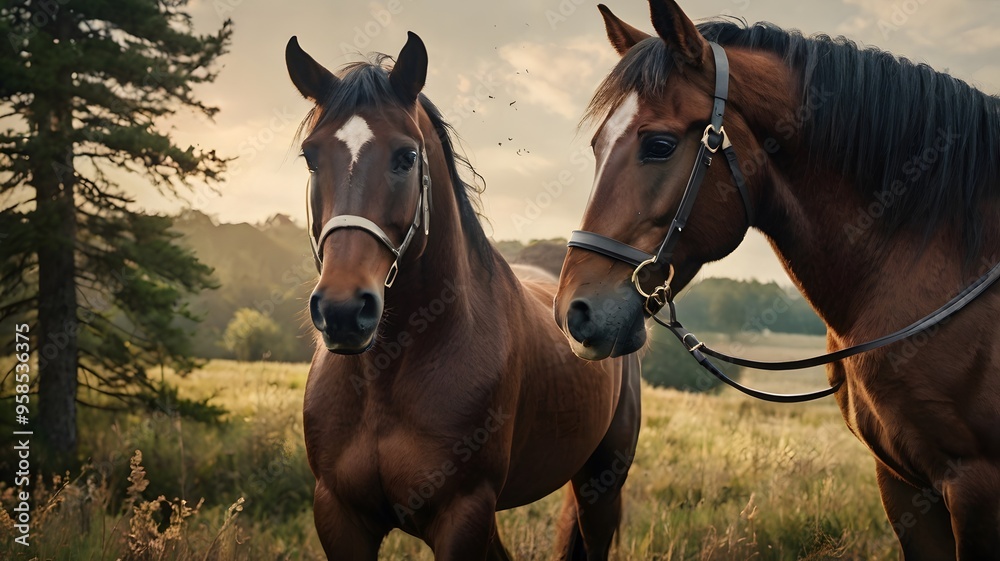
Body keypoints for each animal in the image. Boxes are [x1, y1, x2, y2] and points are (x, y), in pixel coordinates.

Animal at [285, 32, 641, 560]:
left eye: (406, 157)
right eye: (311, 157)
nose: (344, 311)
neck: (388, 376)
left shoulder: (463, 515)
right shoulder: (340, 516)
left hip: (601, 485)